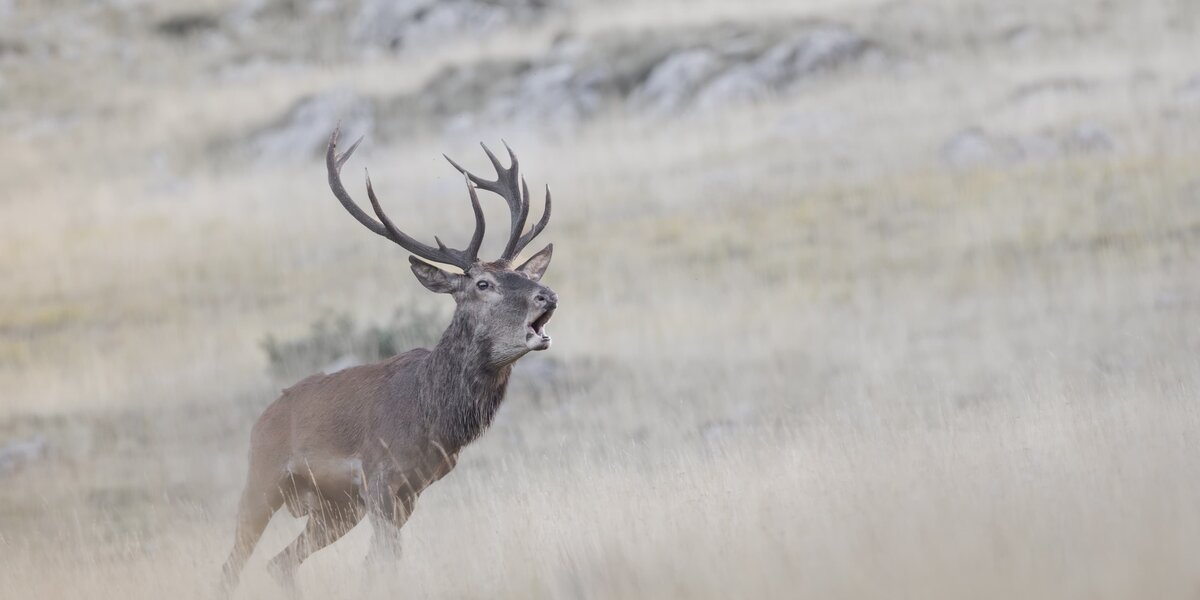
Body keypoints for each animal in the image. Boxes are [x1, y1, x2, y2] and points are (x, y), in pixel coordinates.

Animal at [219, 128, 558, 596]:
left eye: (526, 275)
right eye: (483, 283)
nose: (548, 295)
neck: (431, 416)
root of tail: (262, 419)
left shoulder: (412, 491)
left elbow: (377, 562)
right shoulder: (379, 475)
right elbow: (386, 558)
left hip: (334, 508)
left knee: (280, 562)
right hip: (262, 480)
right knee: (232, 564)